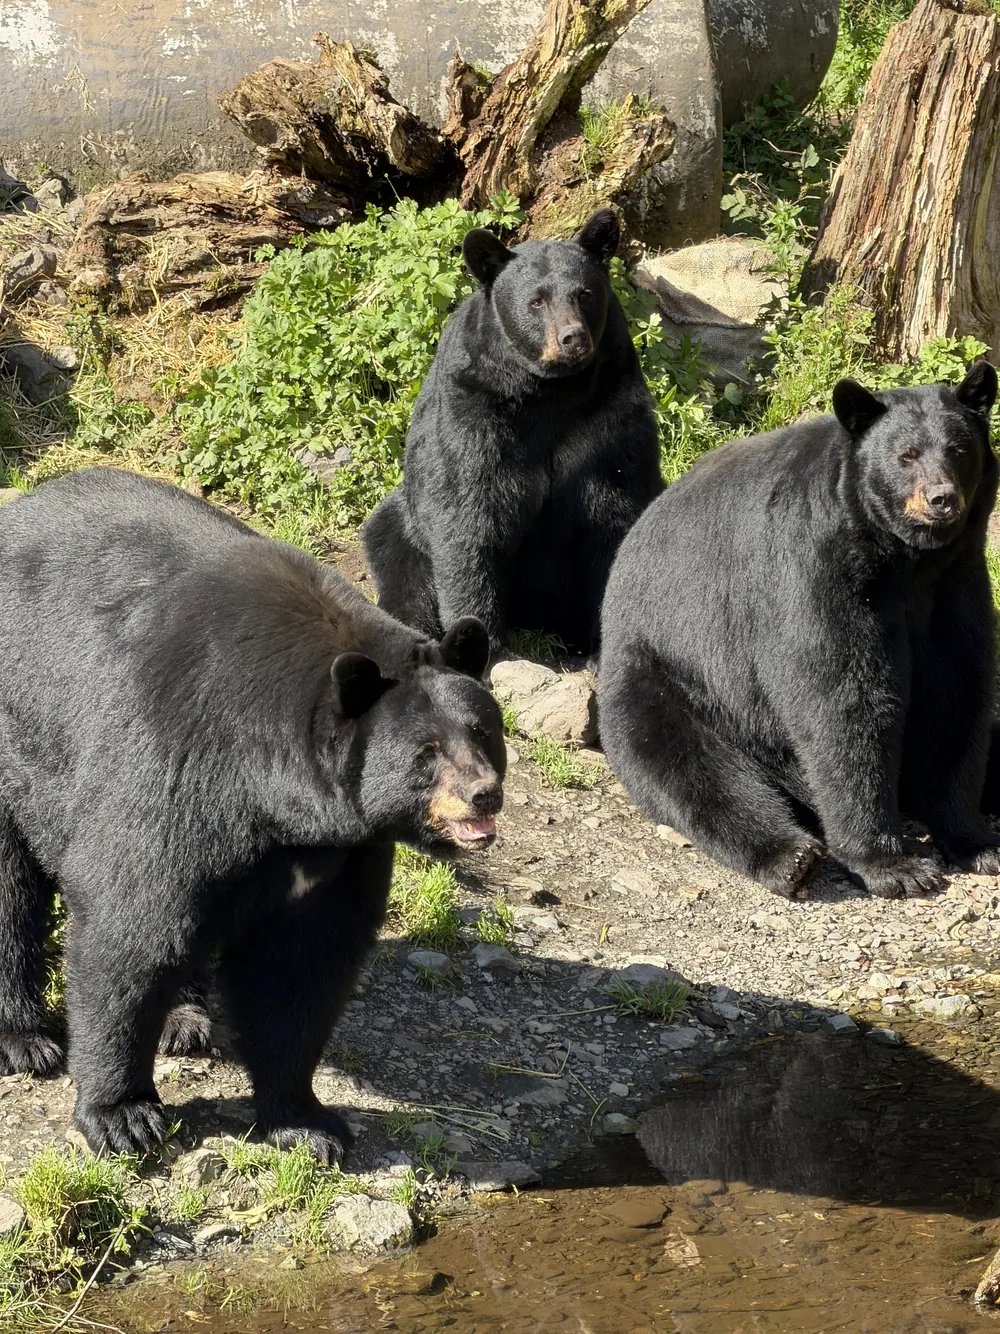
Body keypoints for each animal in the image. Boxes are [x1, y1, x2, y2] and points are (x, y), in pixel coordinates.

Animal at [0, 468, 505, 1161]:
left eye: (482, 731)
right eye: (426, 752)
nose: (484, 793)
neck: (274, 792)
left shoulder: (336, 852)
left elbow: (300, 965)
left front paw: (306, 1122)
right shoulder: (177, 769)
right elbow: (131, 929)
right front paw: (121, 1115)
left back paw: (184, 1018)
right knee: (10, 890)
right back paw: (25, 1037)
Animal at [361, 207, 662, 659]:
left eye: (585, 294)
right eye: (536, 301)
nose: (573, 338)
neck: (550, 392)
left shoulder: (613, 413)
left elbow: (615, 512)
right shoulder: (474, 413)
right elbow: (468, 515)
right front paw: (487, 644)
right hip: (404, 525)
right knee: (403, 572)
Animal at [599, 361, 1000, 900]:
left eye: (958, 449)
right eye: (906, 456)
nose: (942, 499)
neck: (904, 562)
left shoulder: (956, 583)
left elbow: (958, 692)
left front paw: (975, 840)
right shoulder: (813, 571)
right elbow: (842, 701)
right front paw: (894, 866)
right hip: (667, 675)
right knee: (690, 770)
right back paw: (791, 857)